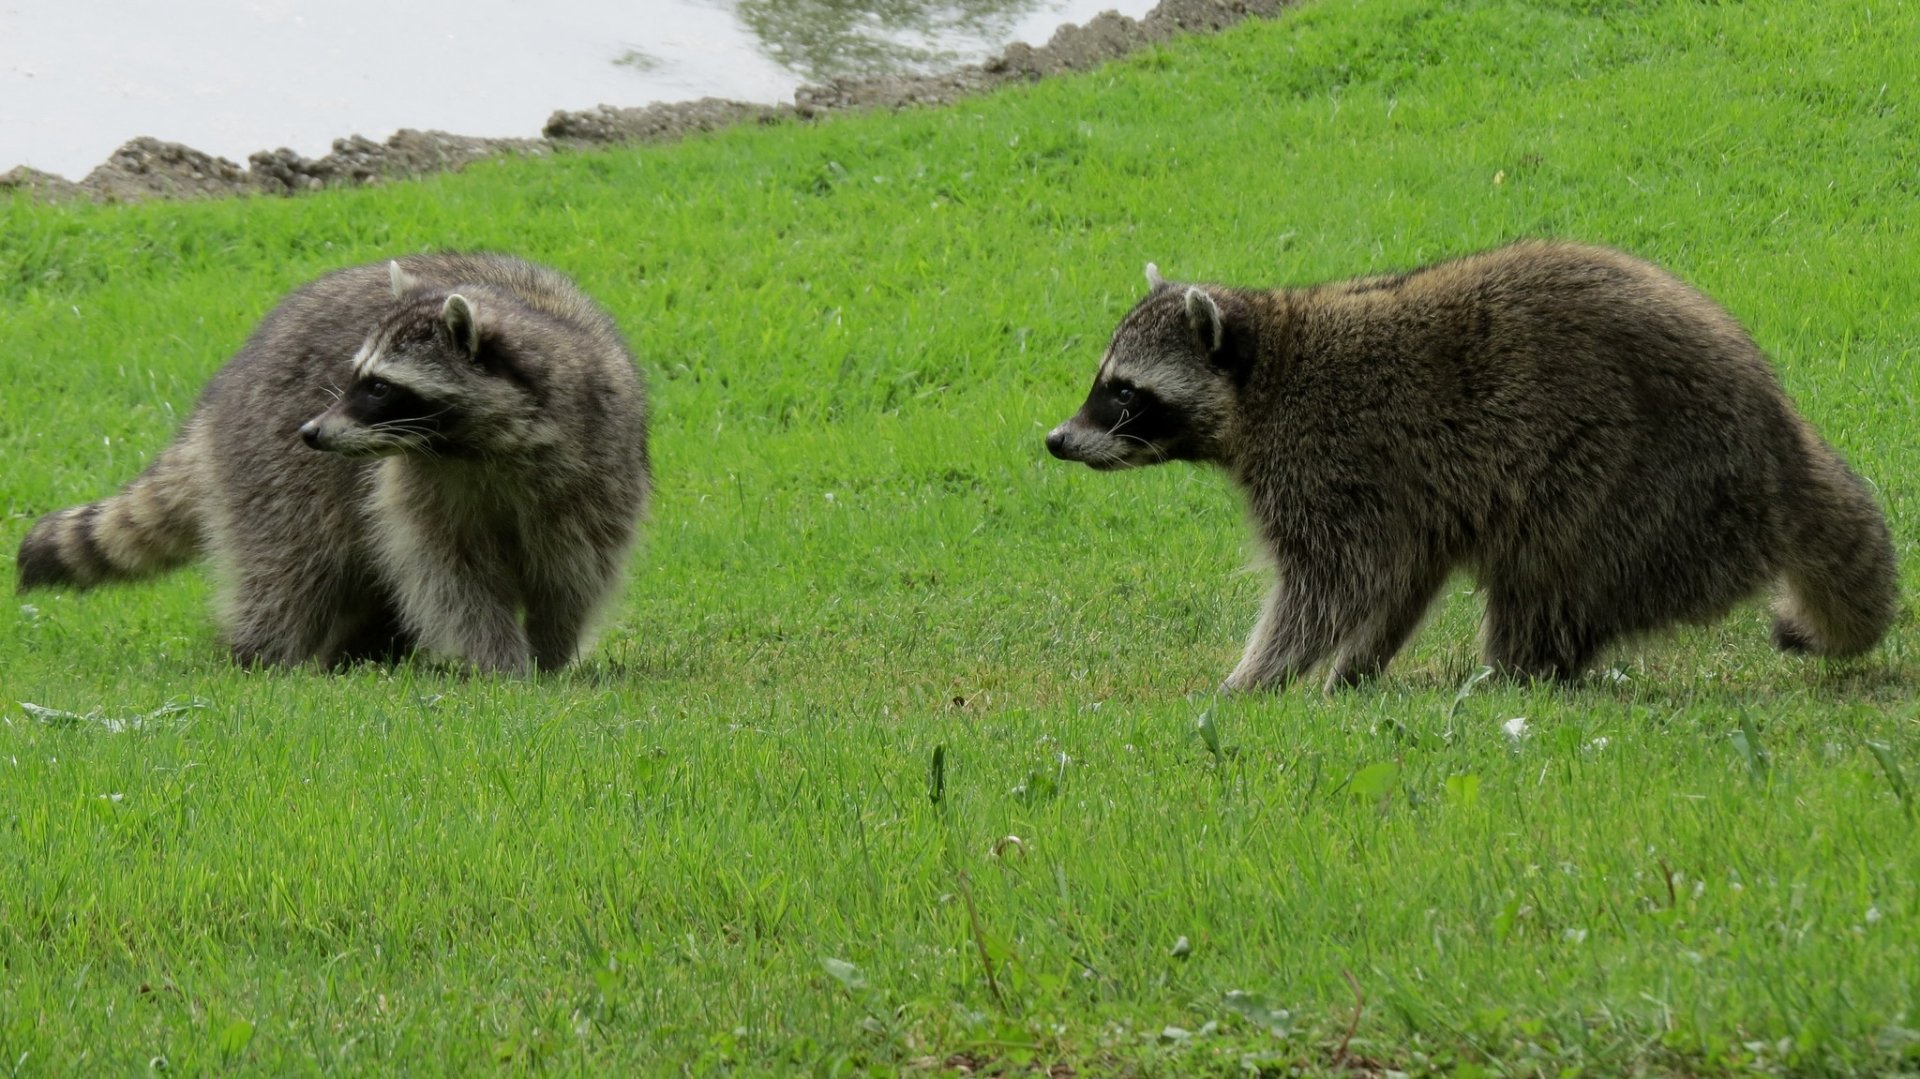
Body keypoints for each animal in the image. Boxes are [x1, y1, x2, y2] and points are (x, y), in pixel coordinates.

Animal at [17, 253, 650, 674]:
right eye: (352, 377)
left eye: (379, 387)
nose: (311, 432)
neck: (471, 447)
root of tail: (225, 388)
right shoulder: (414, 488)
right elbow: (451, 578)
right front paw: (498, 660)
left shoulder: (594, 463)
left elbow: (572, 569)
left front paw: (550, 651)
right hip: (270, 462)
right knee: (289, 565)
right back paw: (265, 653)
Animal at [1046, 242, 1897, 691]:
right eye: (1103, 382)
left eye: (1124, 393)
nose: (1056, 439)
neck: (1265, 373)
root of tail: (1779, 437)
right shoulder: (1402, 494)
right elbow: (1400, 579)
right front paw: (1354, 670)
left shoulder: (1328, 463)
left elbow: (1330, 585)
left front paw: (1255, 680)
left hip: (1641, 480)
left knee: (1547, 573)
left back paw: (1514, 673)